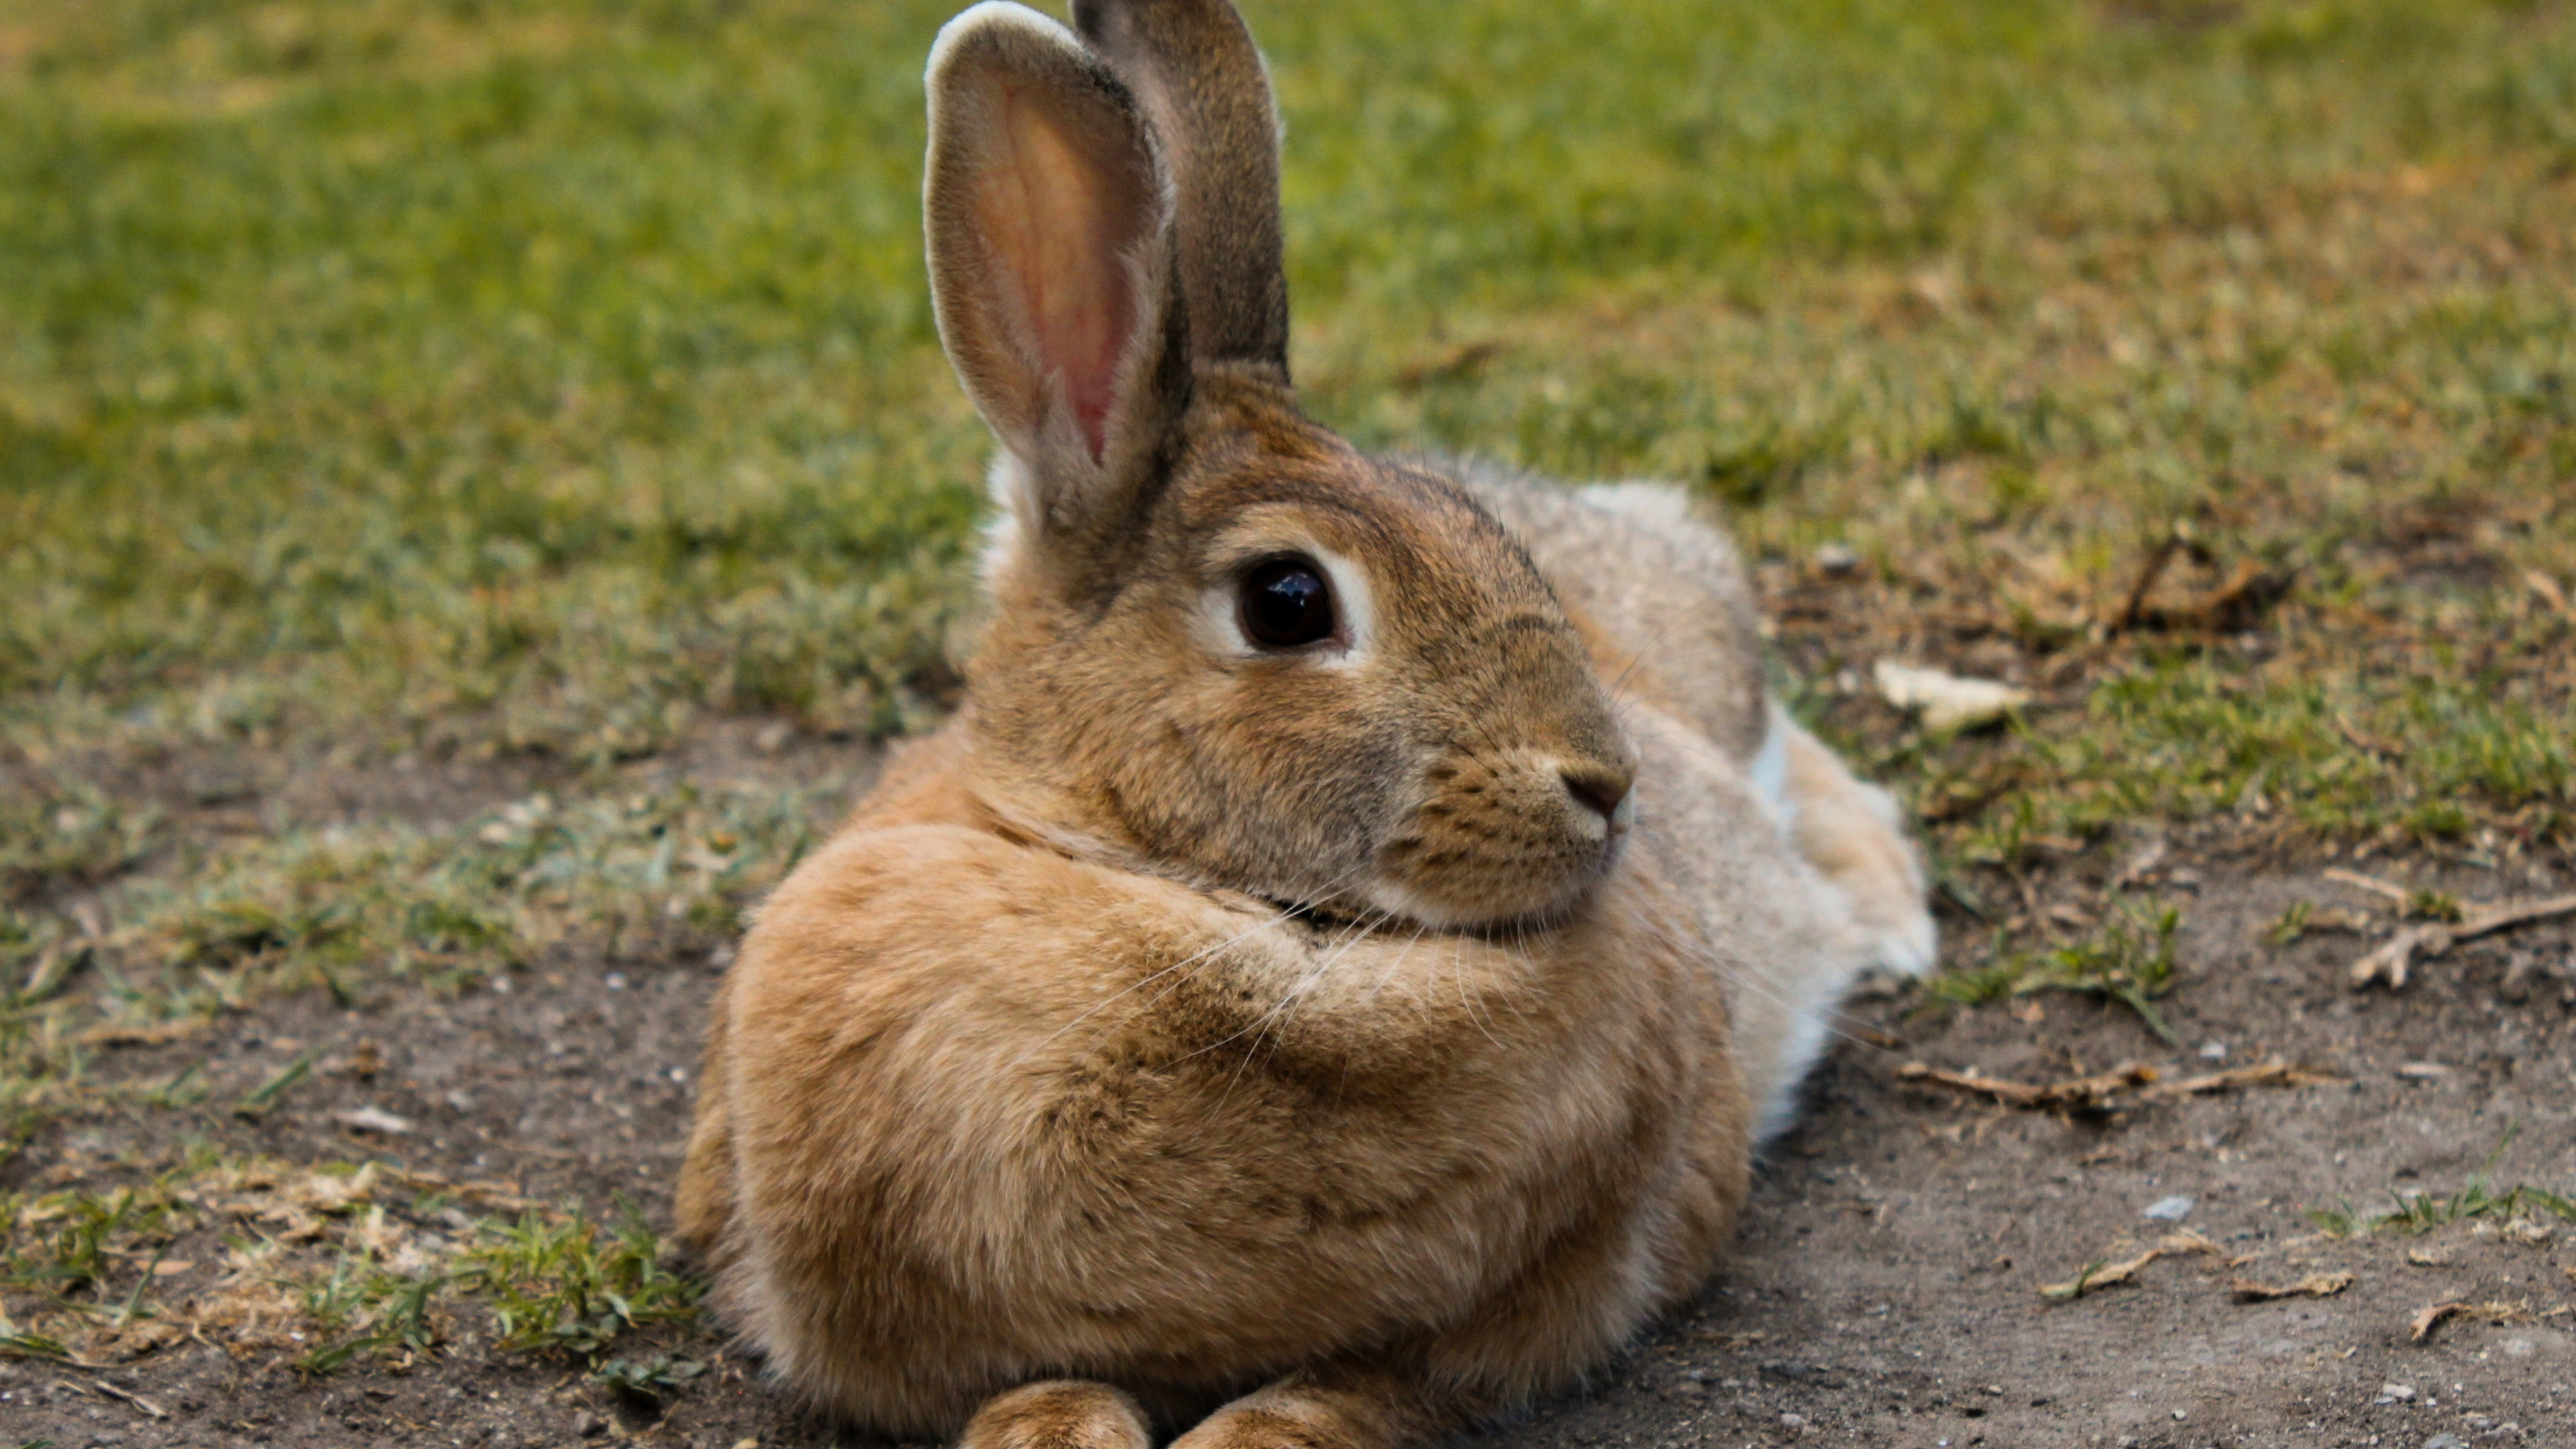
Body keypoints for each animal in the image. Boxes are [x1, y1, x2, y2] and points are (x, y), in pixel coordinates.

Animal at [675, 0, 1927, 1433]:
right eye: (1287, 601)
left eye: (1474, 527)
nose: (1606, 786)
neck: (1155, 875)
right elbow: (1040, 1391)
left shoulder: (1475, 1334)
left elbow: (1338, 1395)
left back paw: (1889, 919)